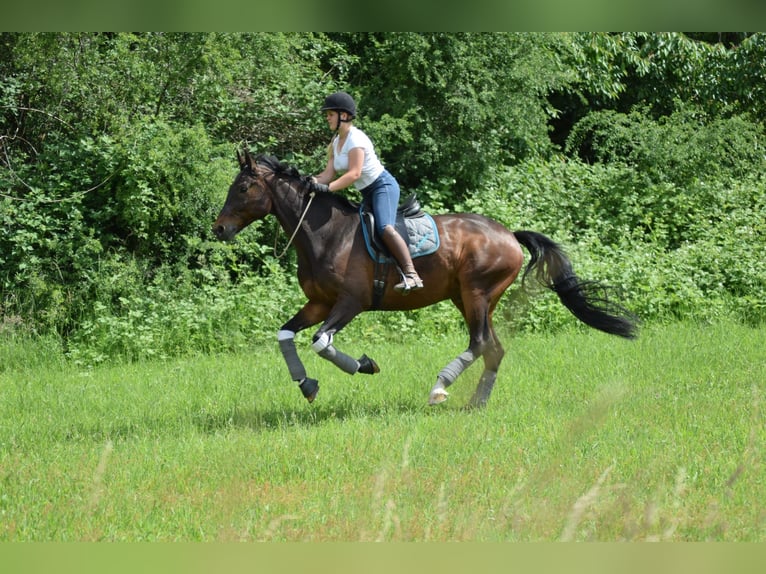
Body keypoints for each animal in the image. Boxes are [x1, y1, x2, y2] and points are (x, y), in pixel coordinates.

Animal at [213, 151, 640, 408]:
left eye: (244, 187)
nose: (219, 229)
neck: (325, 234)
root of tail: (508, 234)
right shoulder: (319, 303)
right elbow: (286, 335)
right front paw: (307, 384)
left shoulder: (350, 303)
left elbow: (321, 342)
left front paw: (364, 365)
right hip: (466, 298)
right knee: (493, 348)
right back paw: (476, 403)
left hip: (477, 293)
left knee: (480, 343)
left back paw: (440, 389)